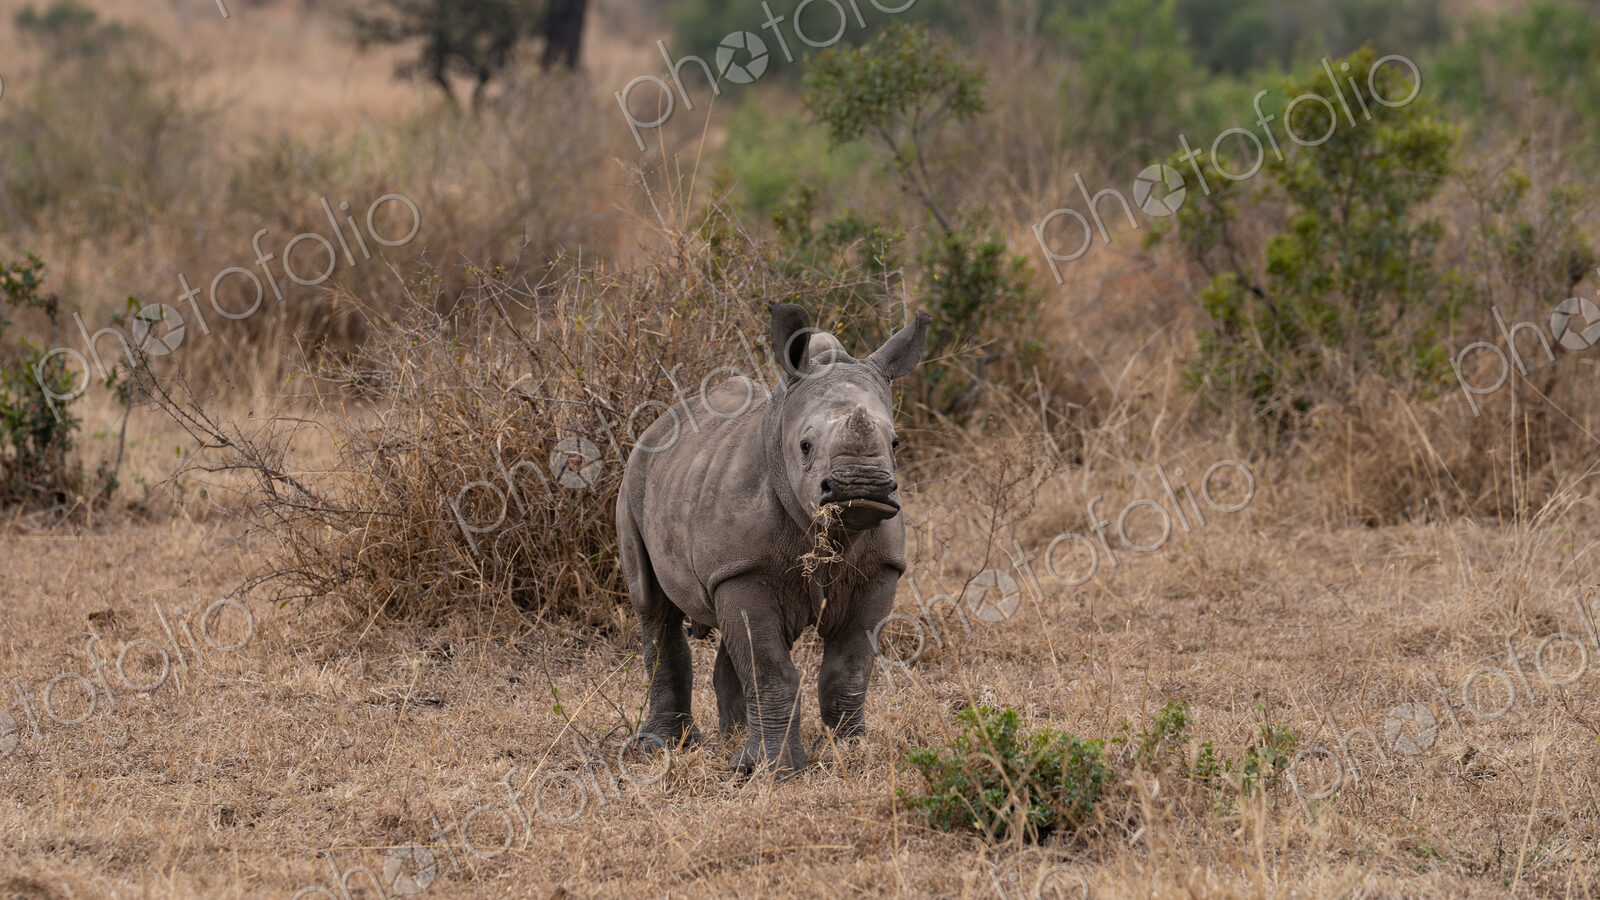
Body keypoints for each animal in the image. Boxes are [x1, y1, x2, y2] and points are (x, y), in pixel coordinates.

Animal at [615, 303, 930, 776]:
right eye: (805, 446)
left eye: (895, 443)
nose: (862, 487)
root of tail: (662, 421)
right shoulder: (744, 569)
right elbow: (769, 669)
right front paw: (774, 771)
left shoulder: (879, 570)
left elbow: (849, 669)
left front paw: (850, 753)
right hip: (634, 477)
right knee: (654, 609)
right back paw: (664, 747)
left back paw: (733, 743)